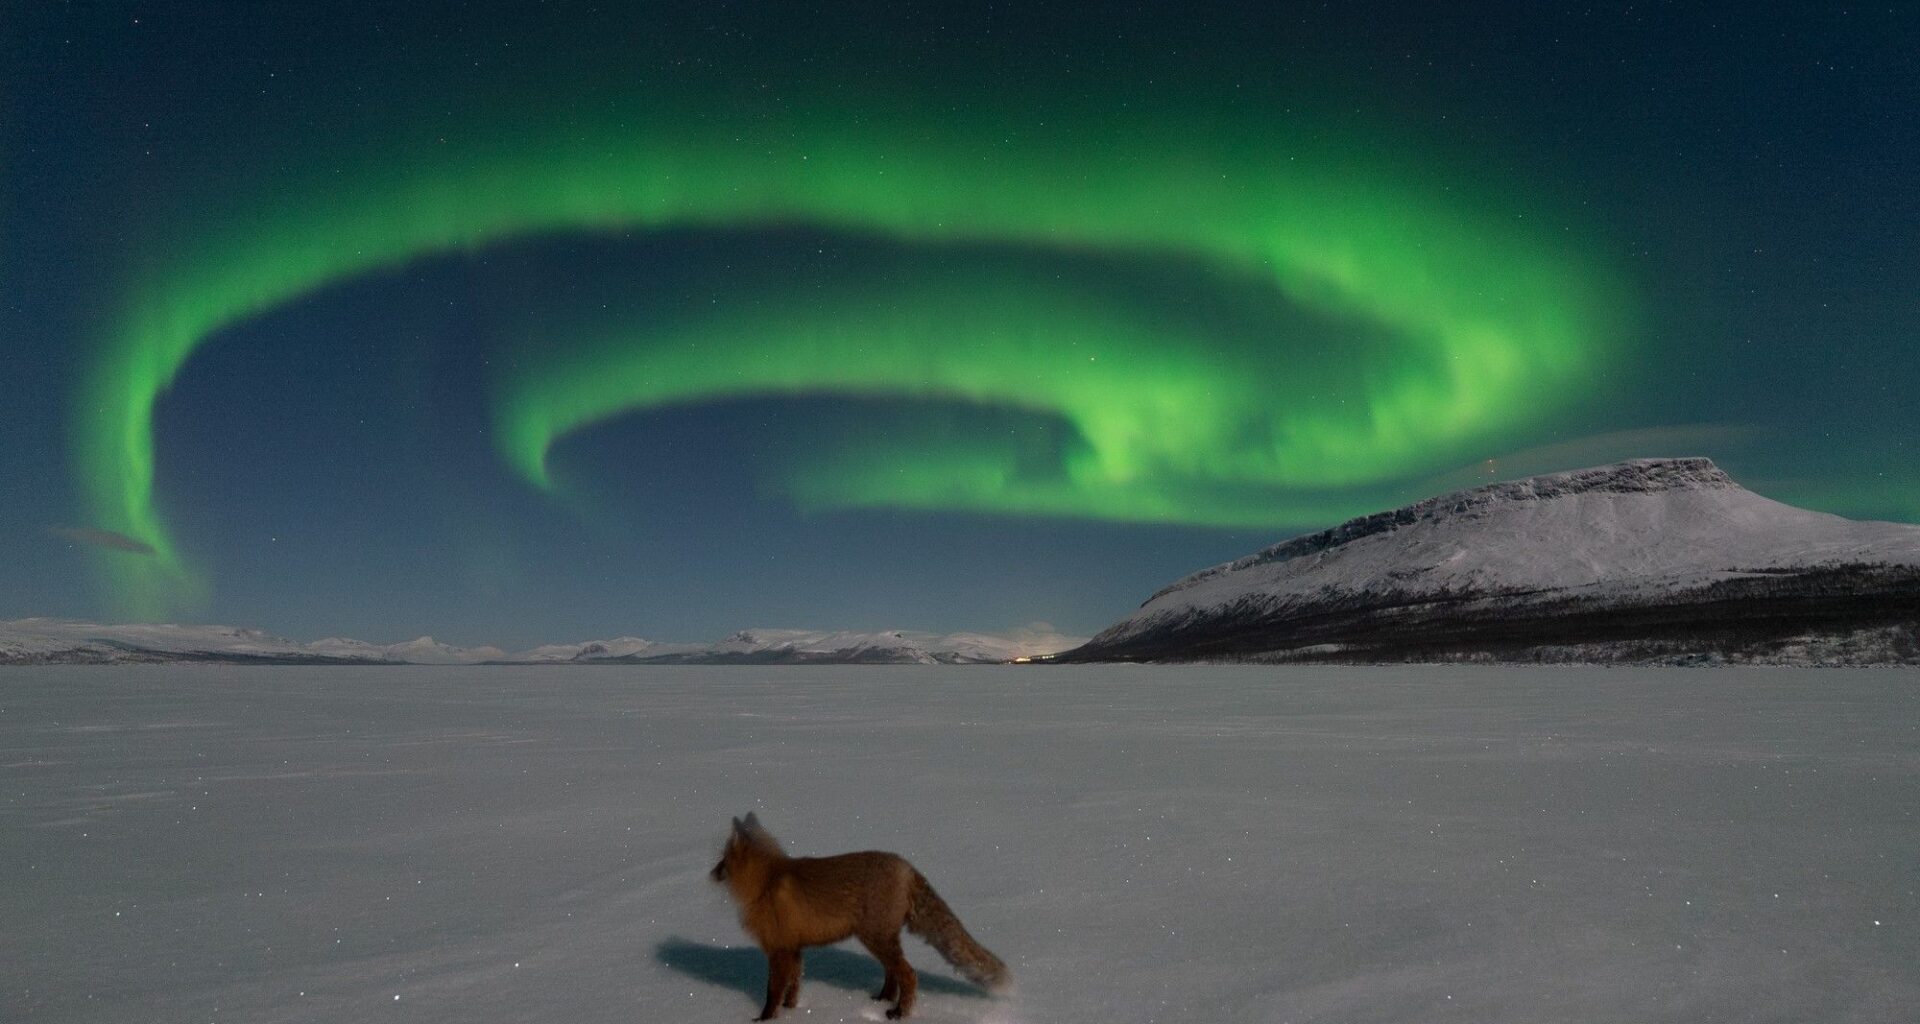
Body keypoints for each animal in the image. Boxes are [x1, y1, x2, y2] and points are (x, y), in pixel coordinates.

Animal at [709, 813, 1010, 1020]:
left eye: (723, 859)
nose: (710, 874)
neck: (765, 882)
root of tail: (906, 866)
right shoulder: (793, 948)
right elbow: (793, 987)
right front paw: (792, 1011)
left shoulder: (779, 950)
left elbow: (772, 991)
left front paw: (765, 1019)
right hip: (879, 940)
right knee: (893, 973)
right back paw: (882, 1000)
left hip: (875, 939)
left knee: (908, 974)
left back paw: (900, 1013)